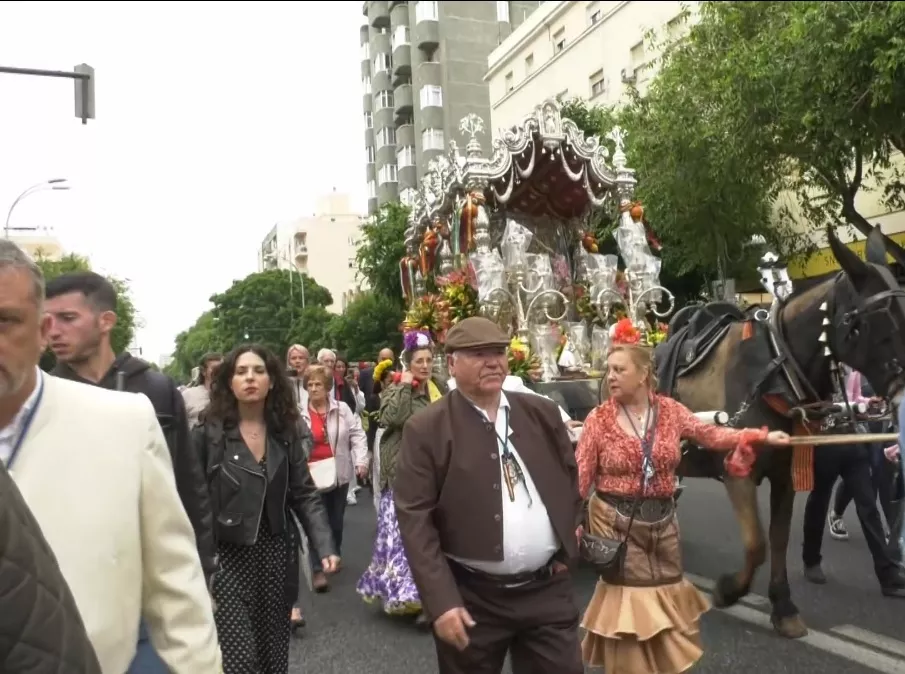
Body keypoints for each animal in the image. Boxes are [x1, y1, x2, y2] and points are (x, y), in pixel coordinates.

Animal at [652, 226, 904, 636]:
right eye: (869, 321)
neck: (774, 375)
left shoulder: (786, 475)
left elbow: (779, 540)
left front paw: (782, 606)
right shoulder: (737, 472)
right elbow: (757, 544)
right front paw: (728, 590)